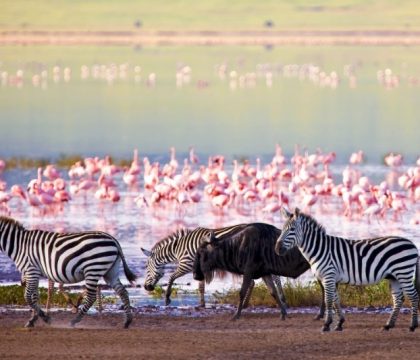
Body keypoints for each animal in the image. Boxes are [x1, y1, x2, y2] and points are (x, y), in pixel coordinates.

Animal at [0, 217, 136, 330]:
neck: (19, 244)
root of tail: (113, 239)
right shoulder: (33, 273)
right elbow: (34, 296)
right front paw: (33, 320)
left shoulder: (31, 270)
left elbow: (28, 297)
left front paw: (45, 318)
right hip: (111, 271)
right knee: (123, 291)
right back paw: (127, 321)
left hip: (93, 269)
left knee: (91, 297)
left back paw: (74, 321)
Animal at [141, 224, 288, 310]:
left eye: (146, 267)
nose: (146, 287)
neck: (178, 248)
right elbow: (201, 287)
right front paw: (201, 304)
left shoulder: (186, 264)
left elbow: (171, 277)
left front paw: (167, 298)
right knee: (271, 278)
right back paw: (281, 299)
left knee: (258, 280)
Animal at [276, 208, 420, 332]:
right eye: (282, 229)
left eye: (292, 229)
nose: (277, 249)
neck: (319, 249)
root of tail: (413, 245)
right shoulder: (332, 278)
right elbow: (336, 300)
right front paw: (339, 323)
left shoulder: (329, 276)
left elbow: (328, 300)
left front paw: (326, 324)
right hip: (394, 277)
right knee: (398, 299)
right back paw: (388, 325)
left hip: (403, 273)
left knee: (413, 296)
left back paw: (412, 326)